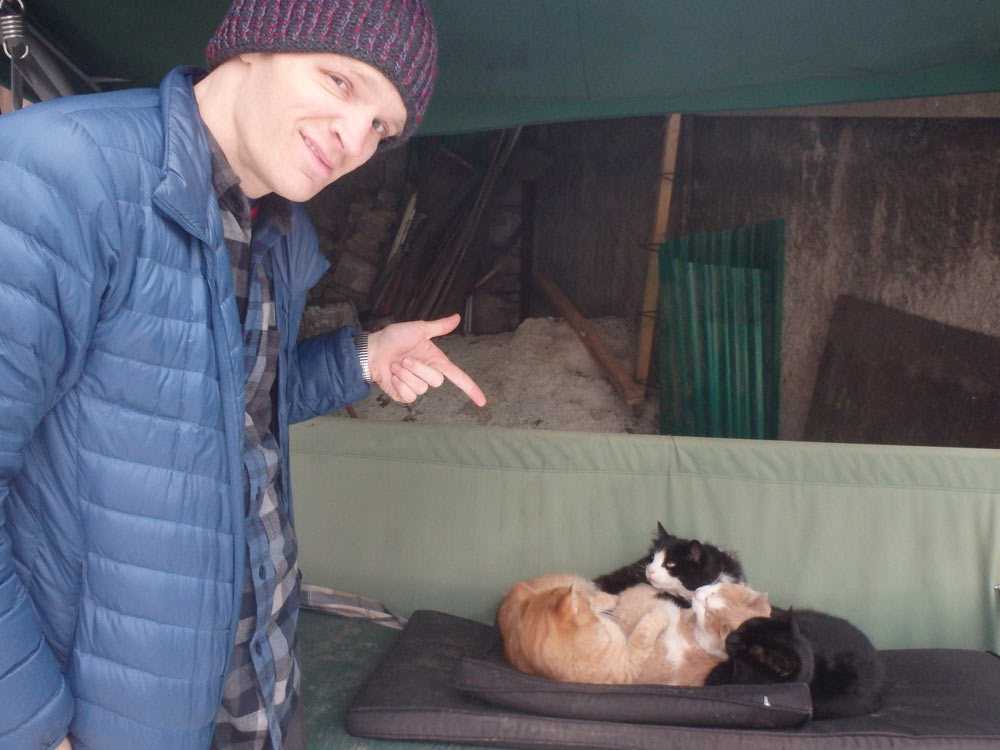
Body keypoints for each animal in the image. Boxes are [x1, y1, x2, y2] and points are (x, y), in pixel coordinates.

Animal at [494, 576, 668, 688]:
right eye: (587, 605)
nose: (618, 599)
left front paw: (615, 598)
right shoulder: (627, 667)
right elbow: (643, 633)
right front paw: (661, 614)